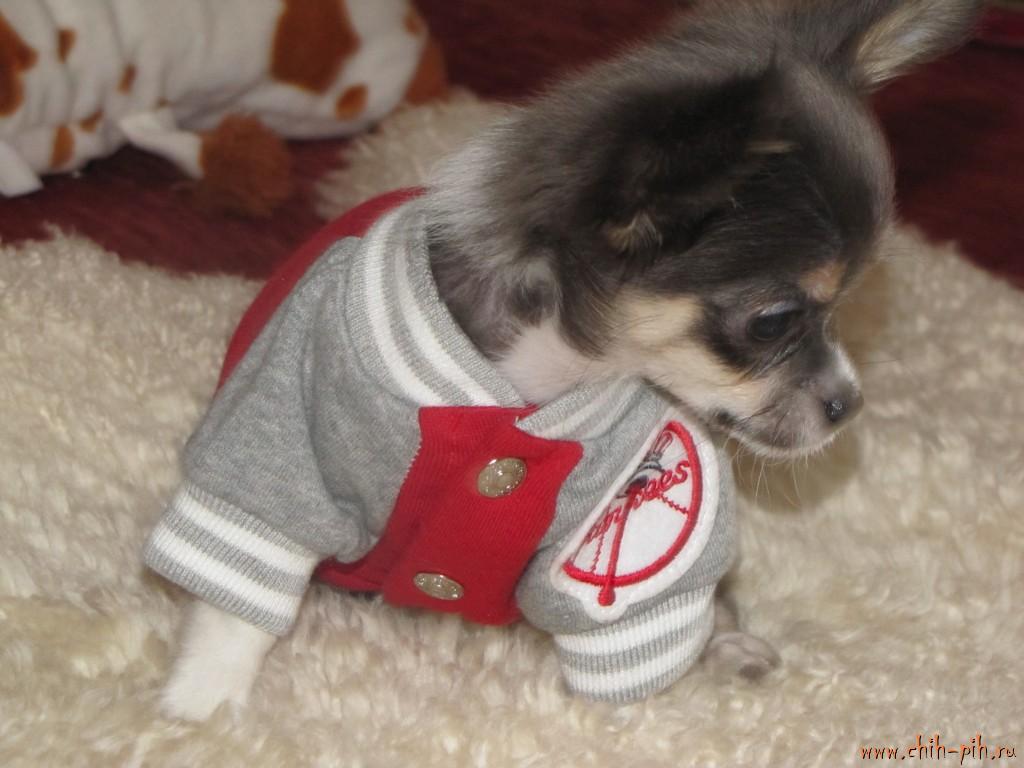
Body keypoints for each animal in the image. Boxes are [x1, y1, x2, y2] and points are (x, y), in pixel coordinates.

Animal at [149, 0, 981, 720]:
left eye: (847, 309)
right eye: (772, 321)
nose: (849, 404)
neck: (535, 376)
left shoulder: (631, 509)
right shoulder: (283, 444)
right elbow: (241, 585)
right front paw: (202, 707)